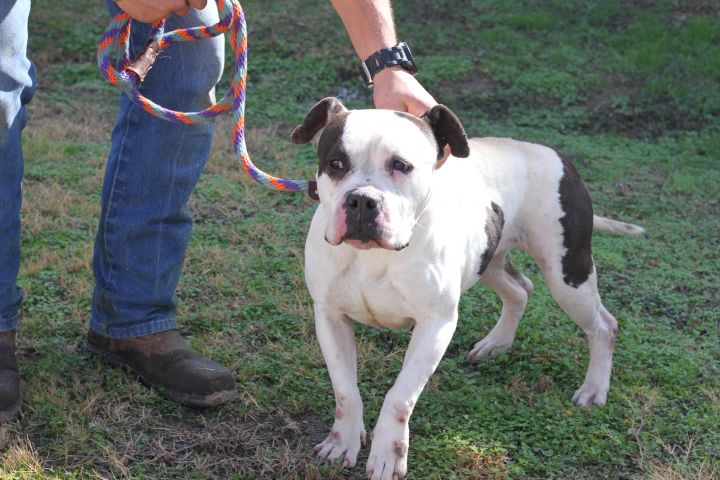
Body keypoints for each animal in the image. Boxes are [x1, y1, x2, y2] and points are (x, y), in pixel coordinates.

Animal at [290, 95, 644, 478]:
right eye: (335, 163)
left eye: (401, 165)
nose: (361, 200)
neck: (374, 256)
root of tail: (556, 155)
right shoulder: (330, 317)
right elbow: (345, 390)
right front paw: (342, 442)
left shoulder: (436, 325)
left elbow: (399, 397)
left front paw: (388, 452)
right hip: (489, 259)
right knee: (521, 289)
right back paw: (496, 343)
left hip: (568, 276)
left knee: (603, 325)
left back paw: (594, 388)